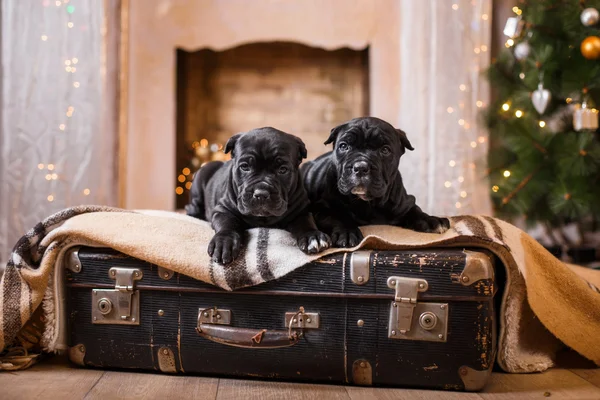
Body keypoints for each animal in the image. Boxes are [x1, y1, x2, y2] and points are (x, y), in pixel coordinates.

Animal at [186, 128, 330, 264]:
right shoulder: (223, 210)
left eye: (283, 170)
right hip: (202, 177)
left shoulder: (301, 212)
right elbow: (227, 225)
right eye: (245, 167)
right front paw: (223, 243)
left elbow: (306, 223)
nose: (261, 193)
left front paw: (313, 237)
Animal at [300, 115, 450, 247]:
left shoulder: (405, 203)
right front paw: (347, 233)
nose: (360, 167)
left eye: (385, 150)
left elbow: (415, 210)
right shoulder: (323, 207)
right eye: (343, 146)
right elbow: (338, 216)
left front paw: (431, 220)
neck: (369, 203)